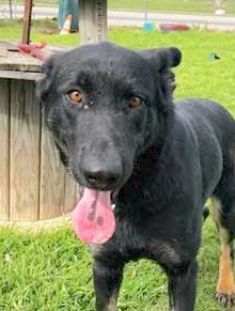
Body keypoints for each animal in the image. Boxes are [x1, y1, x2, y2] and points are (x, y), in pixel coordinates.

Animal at [39, 43, 235, 311]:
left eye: (135, 101)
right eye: (76, 95)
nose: (102, 175)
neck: (139, 189)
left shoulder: (182, 271)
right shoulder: (105, 266)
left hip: (226, 206)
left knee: (227, 245)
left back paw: (226, 286)